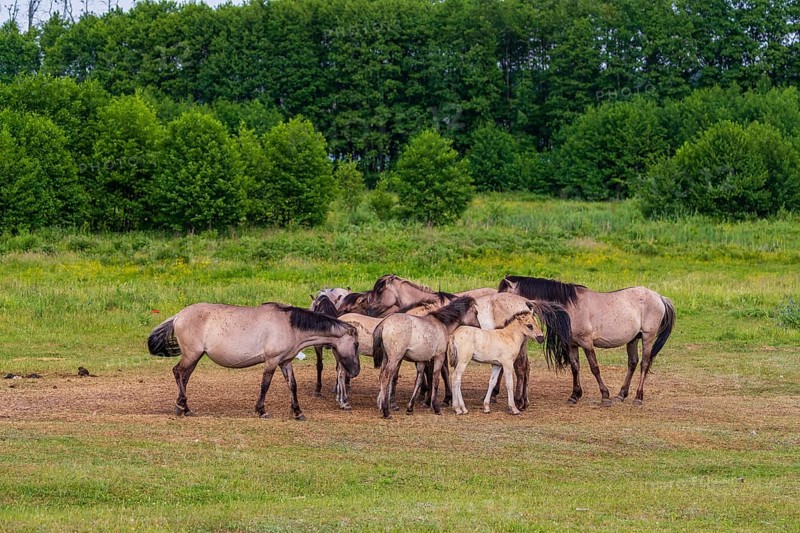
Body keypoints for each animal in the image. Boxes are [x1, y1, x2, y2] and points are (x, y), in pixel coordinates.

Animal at [147, 302, 360, 420]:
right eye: (356, 344)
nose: (355, 371)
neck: (289, 326)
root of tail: (178, 316)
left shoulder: (285, 362)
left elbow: (293, 386)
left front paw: (298, 412)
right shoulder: (271, 361)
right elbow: (265, 385)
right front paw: (261, 410)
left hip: (195, 357)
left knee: (184, 377)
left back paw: (184, 408)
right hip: (192, 355)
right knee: (178, 373)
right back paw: (181, 406)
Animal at [498, 275, 676, 406]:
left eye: (503, 295)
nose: (502, 323)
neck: (568, 308)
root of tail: (659, 297)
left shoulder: (586, 343)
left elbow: (594, 368)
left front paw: (605, 396)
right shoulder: (572, 344)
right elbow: (575, 367)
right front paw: (574, 395)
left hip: (647, 338)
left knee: (644, 364)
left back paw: (638, 397)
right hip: (633, 339)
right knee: (632, 363)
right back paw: (621, 394)